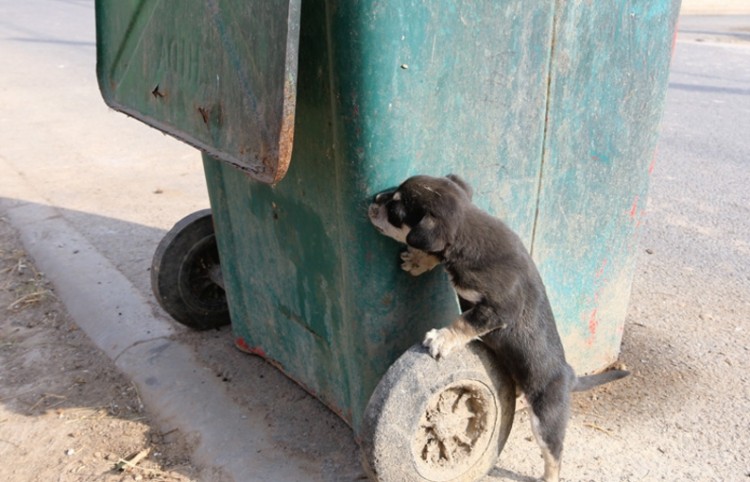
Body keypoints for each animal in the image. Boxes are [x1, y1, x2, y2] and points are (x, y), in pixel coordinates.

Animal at [370, 175, 628, 482]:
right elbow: (437, 255)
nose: (371, 201)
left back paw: (549, 476)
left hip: (545, 418)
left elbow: (463, 322)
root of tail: (570, 376)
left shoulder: (498, 311)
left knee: (555, 455)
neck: (468, 231)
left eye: (394, 210)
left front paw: (441, 339)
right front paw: (419, 260)